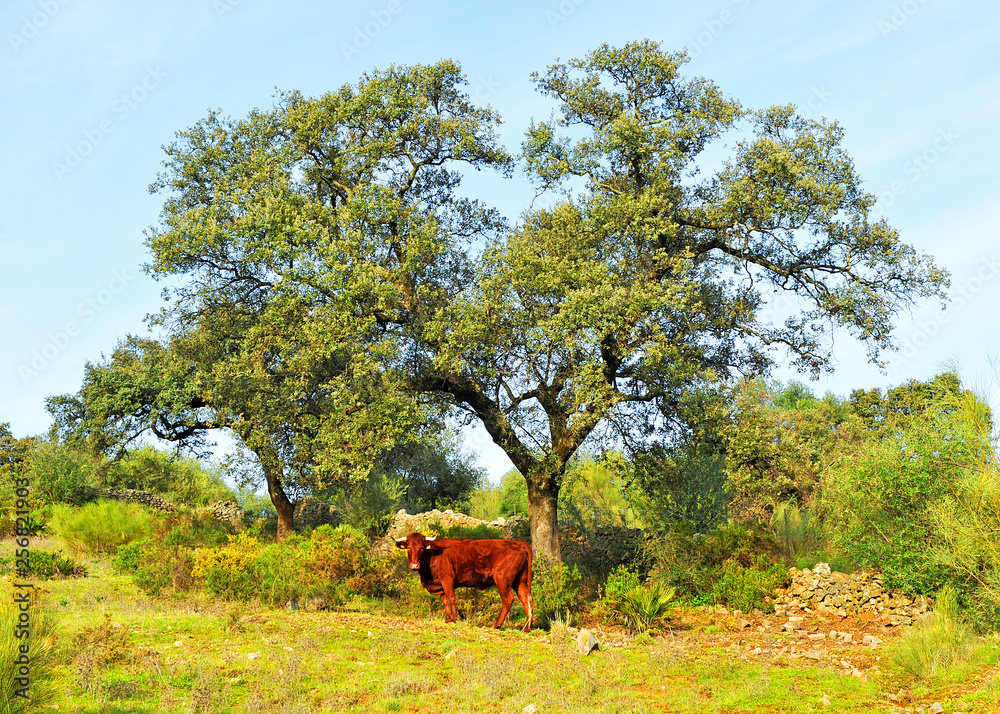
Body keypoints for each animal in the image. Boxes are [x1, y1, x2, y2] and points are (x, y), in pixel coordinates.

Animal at [394, 532, 536, 632]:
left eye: (421, 548)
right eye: (409, 548)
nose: (414, 566)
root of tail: (518, 542)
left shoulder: (447, 579)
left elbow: (451, 598)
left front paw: (454, 619)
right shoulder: (441, 584)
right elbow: (445, 601)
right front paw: (447, 620)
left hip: (503, 580)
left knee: (508, 600)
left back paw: (496, 625)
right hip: (520, 581)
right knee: (527, 600)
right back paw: (526, 629)